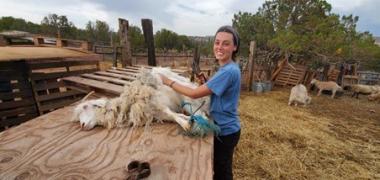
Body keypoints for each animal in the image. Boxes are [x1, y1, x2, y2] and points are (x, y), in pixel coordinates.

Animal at [71, 67, 220, 137]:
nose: (82, 125)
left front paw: (186, 124)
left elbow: (171, 113)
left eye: (86, 106)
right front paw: (187, 120)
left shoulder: (156, 102)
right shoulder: (157, 113)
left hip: (185, 93)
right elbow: (173, 116)